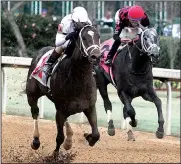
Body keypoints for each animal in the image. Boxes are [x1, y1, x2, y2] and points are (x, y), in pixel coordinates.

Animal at [26, 24, 101, 156]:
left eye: (98, 36)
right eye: (84, 38)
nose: (96, 56)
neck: (78, 79)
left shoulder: (90, 106)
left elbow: (96, 134)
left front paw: (87, 136)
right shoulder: (60, 110)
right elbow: (59, 137)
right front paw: (55, 155)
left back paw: (69, 140)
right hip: (32, 94)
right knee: (35, 112)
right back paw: (36, 141)